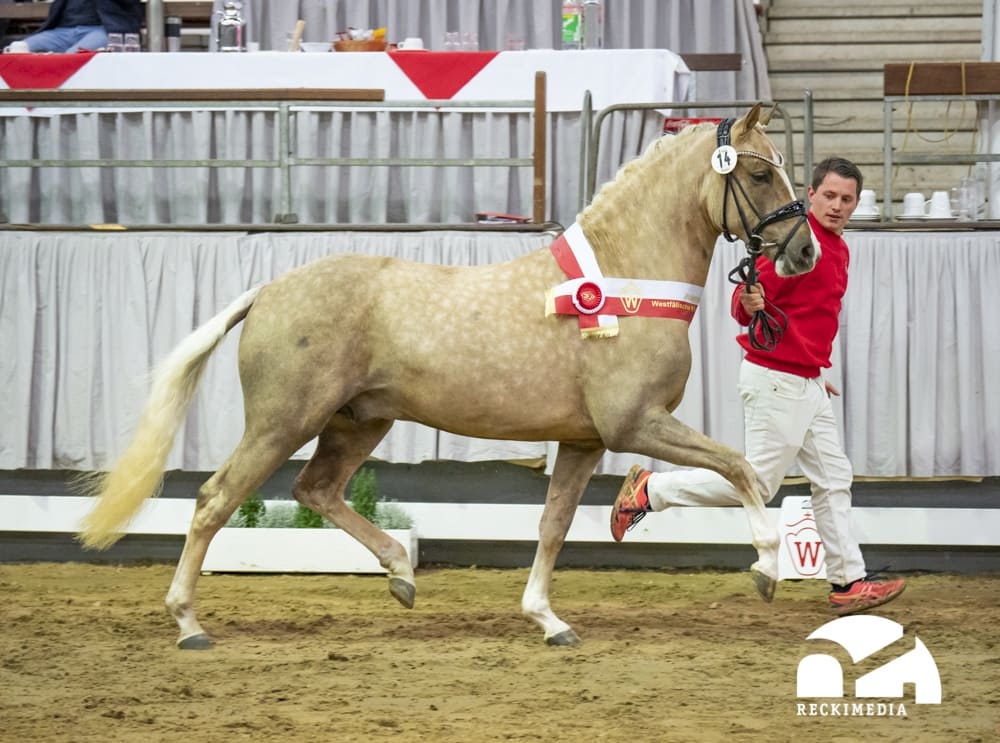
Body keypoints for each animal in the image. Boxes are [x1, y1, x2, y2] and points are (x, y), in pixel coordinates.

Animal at [78, 103, 816, 649]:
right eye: (759, 175)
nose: (805, 252)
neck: (626, 281)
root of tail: (266, 292)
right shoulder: (636, 424)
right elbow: (741, 470)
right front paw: (765, 565)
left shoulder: (584, 439)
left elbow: (554, 525)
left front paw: (548, 620)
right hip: (283, 421)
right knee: (215, 499)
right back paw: (189, 623)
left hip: (358, 422)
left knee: (317, 489)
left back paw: (402, 573)